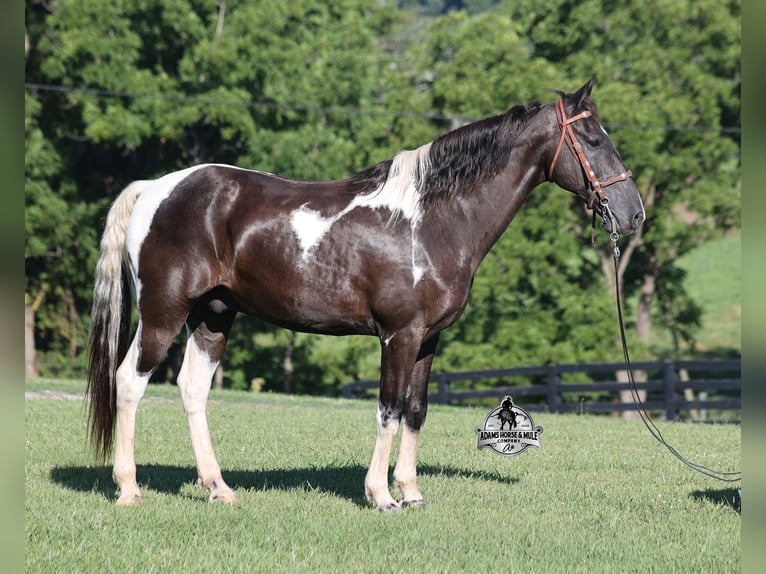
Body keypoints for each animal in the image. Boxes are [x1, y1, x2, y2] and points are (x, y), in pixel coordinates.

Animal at [86, 78, 644, 511]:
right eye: (593, 139)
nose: (633, 213)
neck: (431, 221)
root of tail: (155, 188)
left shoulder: (428, 340)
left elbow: (416, 411)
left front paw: (412, 493)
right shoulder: (398, 336)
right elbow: (389, 409)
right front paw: (381, 495)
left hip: (213, 316)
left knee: (192, 388)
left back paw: (218, 488)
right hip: (163, 313)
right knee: (129, 381)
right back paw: (129, 490)